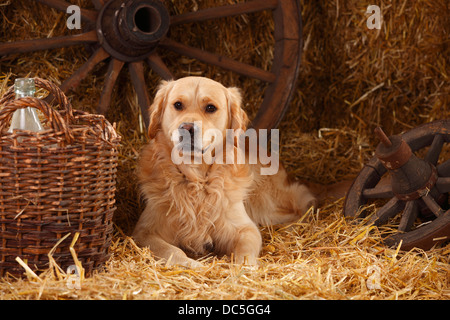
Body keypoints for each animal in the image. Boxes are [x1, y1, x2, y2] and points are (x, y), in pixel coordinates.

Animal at [132, 77, 316, 268]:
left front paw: (242, 270)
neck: (197, 179)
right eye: (178, 105)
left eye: (210, 108)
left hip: (267, 205)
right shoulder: (144, 231)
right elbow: (172, 251)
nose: (187, 127)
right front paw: (196, 266)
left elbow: (245, 253)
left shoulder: (245, 228)